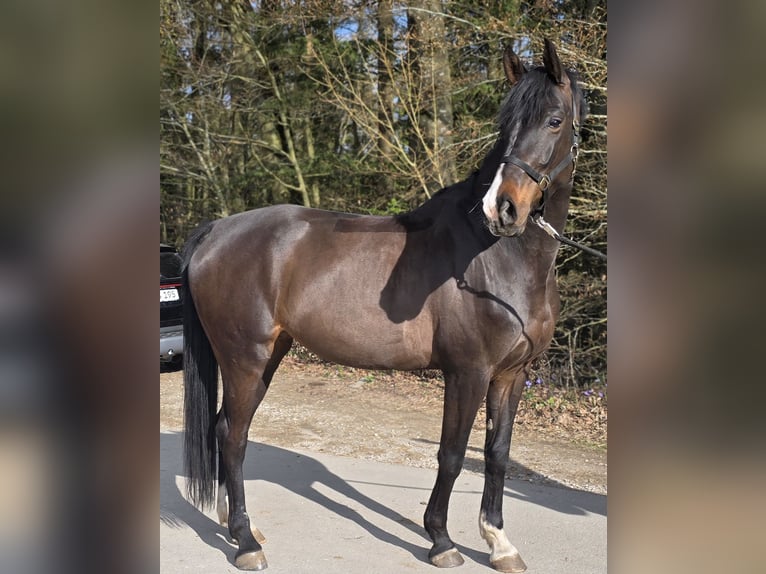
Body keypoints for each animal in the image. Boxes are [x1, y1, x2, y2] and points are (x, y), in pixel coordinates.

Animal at [181, 39, 586, 572]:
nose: (503, 209)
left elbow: (496, 452)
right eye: (506, 124)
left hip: (268, 356)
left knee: (227, 430)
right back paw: (246, 542)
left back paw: (239, 527)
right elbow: (452, 454)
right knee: (232, 434)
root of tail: (216, 229)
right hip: (244, 358)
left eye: (554, 120)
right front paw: (441, 540)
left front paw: (499, 542)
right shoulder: (468, 372)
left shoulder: (511, 375)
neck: (498, 258)